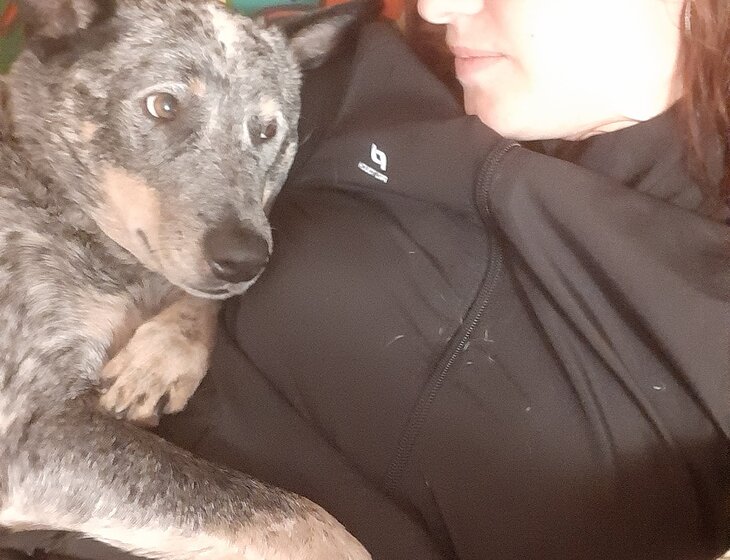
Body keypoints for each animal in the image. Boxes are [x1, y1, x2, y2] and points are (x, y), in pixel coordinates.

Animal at [0, 0, 374, 558]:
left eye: (267, 131)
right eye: (163, 106)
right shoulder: (30, 431)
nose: (245, 259)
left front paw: (164, 356)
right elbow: (304, 520)